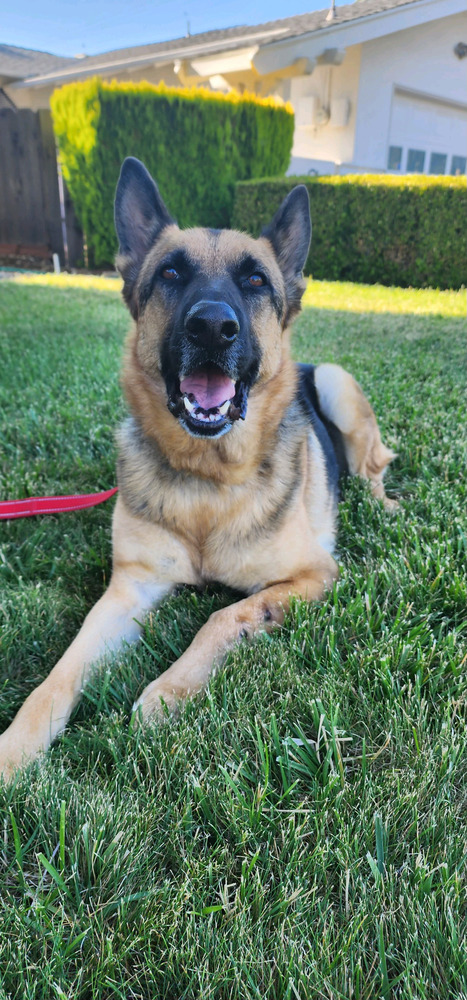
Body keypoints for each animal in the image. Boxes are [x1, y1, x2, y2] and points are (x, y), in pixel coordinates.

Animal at [0, 158, 396, 780]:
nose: (212, 326)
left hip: (336, 384)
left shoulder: (314, 575)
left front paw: (167, 692)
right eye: (170, 272)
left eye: (255, 280)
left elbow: (226, 616)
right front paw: (15, 748)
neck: (208, 481)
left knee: (375, 466)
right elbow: (59, 674)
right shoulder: (128, 591)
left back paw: (385, 505)